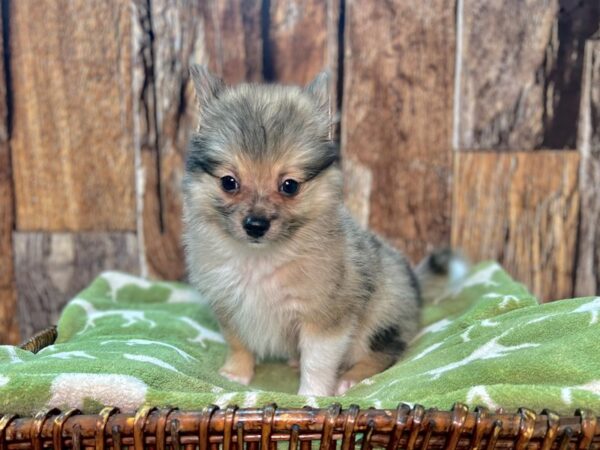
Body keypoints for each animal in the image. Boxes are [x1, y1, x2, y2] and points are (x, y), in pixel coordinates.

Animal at [183, 65, 460, 396]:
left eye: (289, 186)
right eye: (228, 182)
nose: (255, 226)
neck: (260, 258)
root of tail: (414, 283)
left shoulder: (324, 317)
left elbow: (317, 362)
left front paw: (312, 396)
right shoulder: (228, 307)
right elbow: (239, 343)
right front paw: (235, 374)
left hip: (380, 316)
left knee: (386, 351)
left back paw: (352, 377)